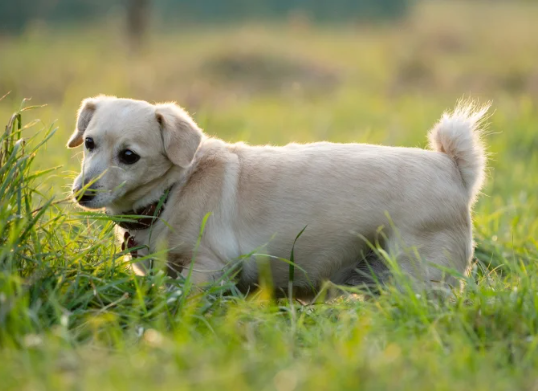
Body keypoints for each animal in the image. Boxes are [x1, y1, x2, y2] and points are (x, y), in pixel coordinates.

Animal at [67, 96, 486, 296]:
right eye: (89, 143)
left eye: (129, 156)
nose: (82, 192)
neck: (174, 191)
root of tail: (451, 167)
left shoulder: (207, 267)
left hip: (420, 276)